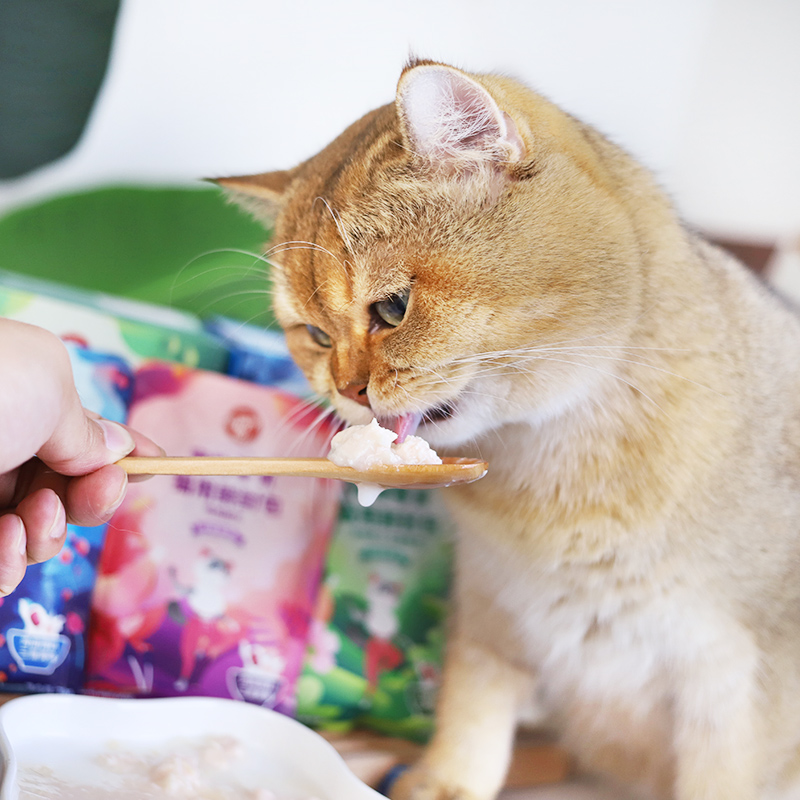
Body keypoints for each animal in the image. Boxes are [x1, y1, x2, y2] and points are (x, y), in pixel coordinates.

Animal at [216, 59, 800, 796]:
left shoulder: (737, 687)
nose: (346, 391)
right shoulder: (493, 625)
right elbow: (470, 728)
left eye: (393, 309)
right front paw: (438, 782)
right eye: (316, 336)